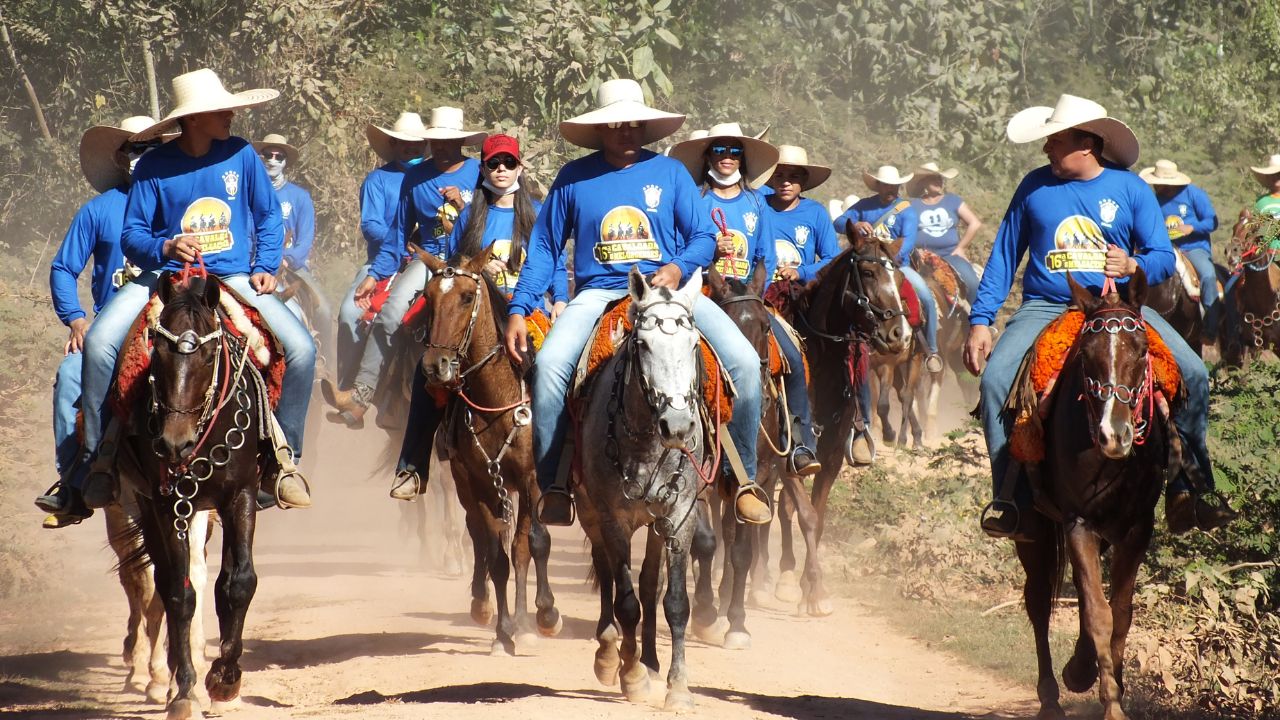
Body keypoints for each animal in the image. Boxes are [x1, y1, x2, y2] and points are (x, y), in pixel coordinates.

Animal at [115, 270, 277, 717]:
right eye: (157, 354)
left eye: (207, 356)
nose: (175, 444)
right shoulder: (169, 505)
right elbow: (178, 592)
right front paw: (186, 689)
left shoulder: (240, 495)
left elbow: (238, 582)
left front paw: (225, 679)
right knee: (158, 582)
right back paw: (165, 676)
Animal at [417, 249, 563, 653]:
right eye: (428, 298)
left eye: (467, 297)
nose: (435, 366)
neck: (498, 401)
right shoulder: (481, 483)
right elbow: (497, 556)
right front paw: (503, 631)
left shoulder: (532, 480)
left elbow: (533, 545)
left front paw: (544, 616)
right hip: (466, 485)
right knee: (480, 537)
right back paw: (482, 605)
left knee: (521, 546)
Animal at [578, 265, 711, 707]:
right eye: (643, 344)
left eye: (692, 344)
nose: (679, 425)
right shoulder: (612, 520)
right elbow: (626, 602)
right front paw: (631, 675)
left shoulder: (680, 516)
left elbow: (675, 602)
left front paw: (678, 686)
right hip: (588, 512)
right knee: (606, 573)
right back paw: (610, 655)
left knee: (651, 582)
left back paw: (650, 660)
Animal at [1013, 270, 1172, 717]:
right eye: (1086, 356)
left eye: (1141, 351)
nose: (1113, 435)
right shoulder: (1077, 524)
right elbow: (1099, 614)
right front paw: (1111, 702)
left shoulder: (1137, 529)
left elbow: (1119, 612)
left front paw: (1104, 681)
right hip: (1034, 531)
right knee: (1038, 600)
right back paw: (1052, 695)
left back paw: (1079, 669)